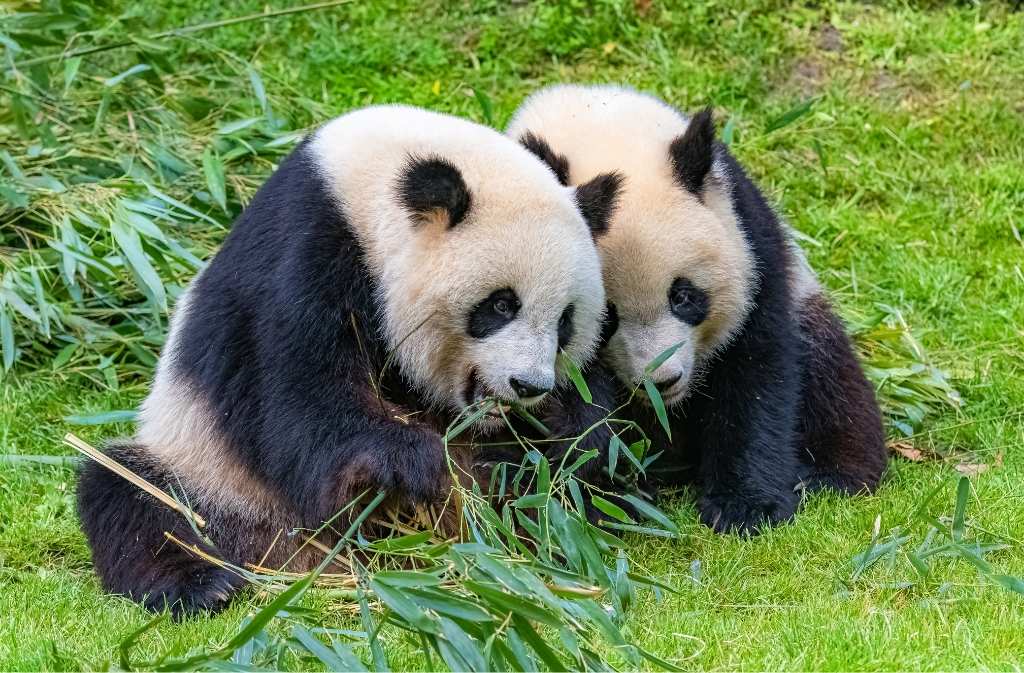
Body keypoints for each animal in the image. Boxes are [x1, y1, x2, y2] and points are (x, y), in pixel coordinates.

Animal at [77, 104, 623, 617]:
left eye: (565, 321)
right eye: (501, 305)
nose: (529, 385)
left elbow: (596, 429)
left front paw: (576, 434)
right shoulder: (304, 251)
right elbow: (296, 396)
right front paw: (408, 460)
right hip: (209, 471)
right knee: (131, 494)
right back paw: (203, 585)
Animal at [507, 85, 887, 534]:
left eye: (684, 297)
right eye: (608, 317)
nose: (662, 381)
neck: (596, 119)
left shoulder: (751, 242)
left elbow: (756, 371)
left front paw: (745, 507)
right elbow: (572, 401)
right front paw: (607, 493)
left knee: (832, 377)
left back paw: (831, 474)